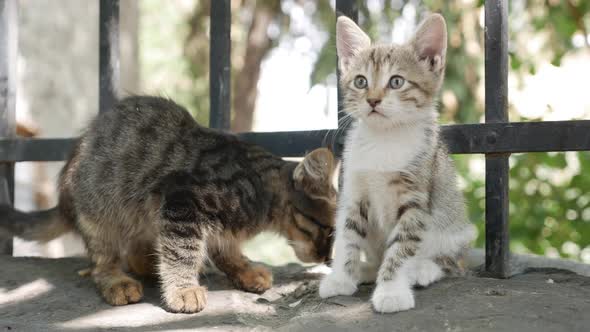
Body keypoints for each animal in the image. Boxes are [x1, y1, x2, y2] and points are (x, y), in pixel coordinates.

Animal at [0, 95, 338, 312]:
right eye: (329, 231)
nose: (326, 259)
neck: (263, 191)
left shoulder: (213, 224)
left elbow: (226, 249)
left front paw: (244, 269)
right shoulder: (183, 202)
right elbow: (182, 252)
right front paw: (183, 289)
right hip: (101, 211)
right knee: (103, 262)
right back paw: (118, 281)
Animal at [322, 13, 478, 314]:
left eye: (396, 82)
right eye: (360, 82)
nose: (372, 100)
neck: (385, 138)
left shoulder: (416, 200)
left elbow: (402, 247)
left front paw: (392, 290)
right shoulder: (353, 193)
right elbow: (347, 236)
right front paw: (341, 278)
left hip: (457, 230)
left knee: (451, 263)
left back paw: (423, 269)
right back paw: (367, 269)